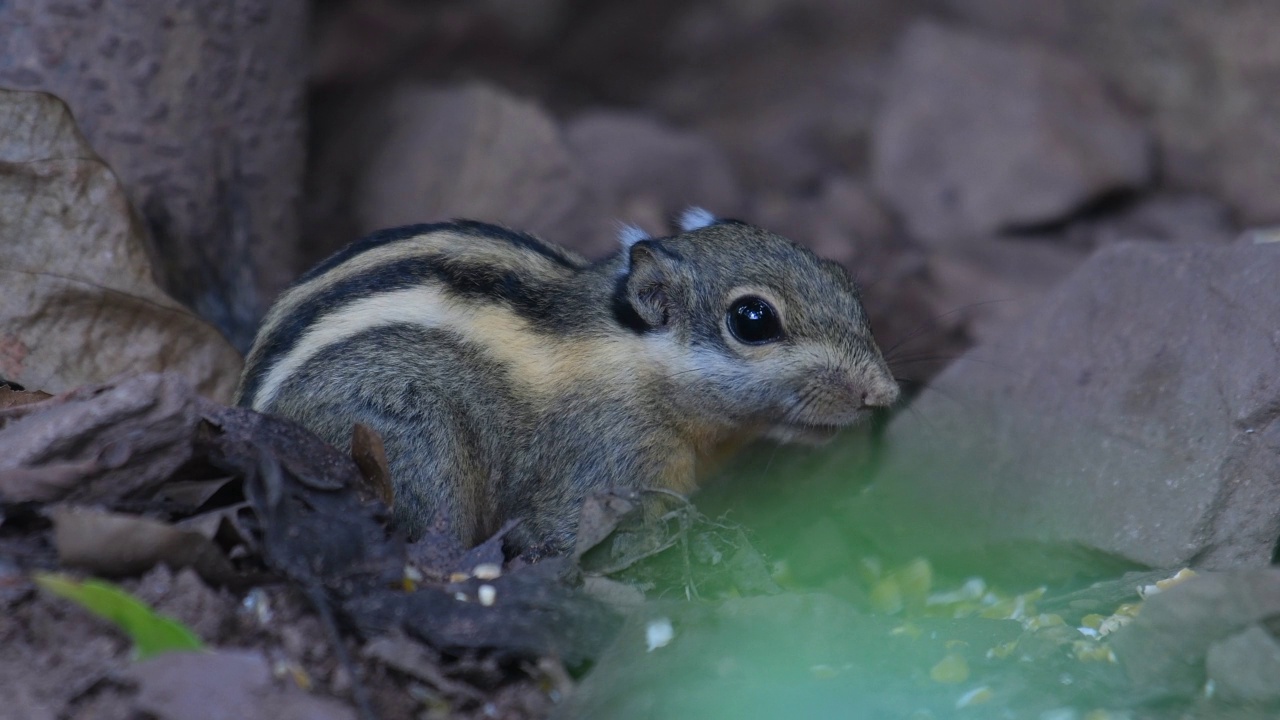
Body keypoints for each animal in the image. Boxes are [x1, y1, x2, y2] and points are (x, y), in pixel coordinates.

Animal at [238, 207, 901, 556]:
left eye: (841, 276)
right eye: (753, 319)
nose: (884, 393)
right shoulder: (593, 470)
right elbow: (553, 538)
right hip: (414, 444)